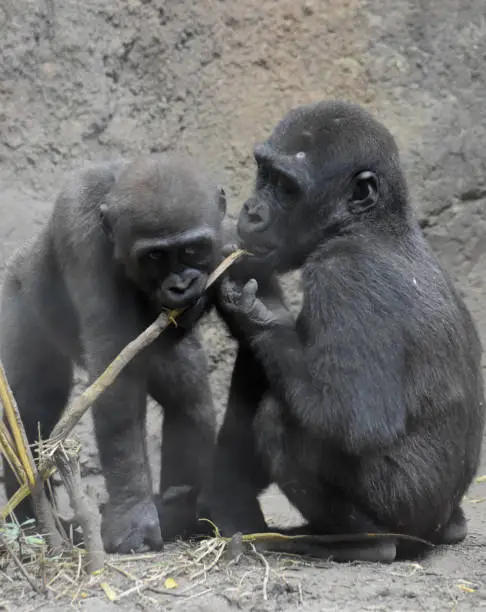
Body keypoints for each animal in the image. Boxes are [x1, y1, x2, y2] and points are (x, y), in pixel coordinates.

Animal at [0, 153, 226, 556]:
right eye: (155, 256)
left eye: (193, 250)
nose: (181, 285)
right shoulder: (82, 229)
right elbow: (114, 381)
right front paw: (132, 517)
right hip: (17, 291)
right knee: (28, 409)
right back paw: (28, 516)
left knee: (189, 399)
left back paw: (179, 511)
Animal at [199, 101, 484, 564]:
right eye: (264, 174)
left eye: (286, 187)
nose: (251, 210)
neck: (369, 225)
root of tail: (438, 526)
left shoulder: (342, 276)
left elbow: (350, 416)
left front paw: (253, 312)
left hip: (405, 509)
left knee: (280, 419)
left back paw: (365, 543)